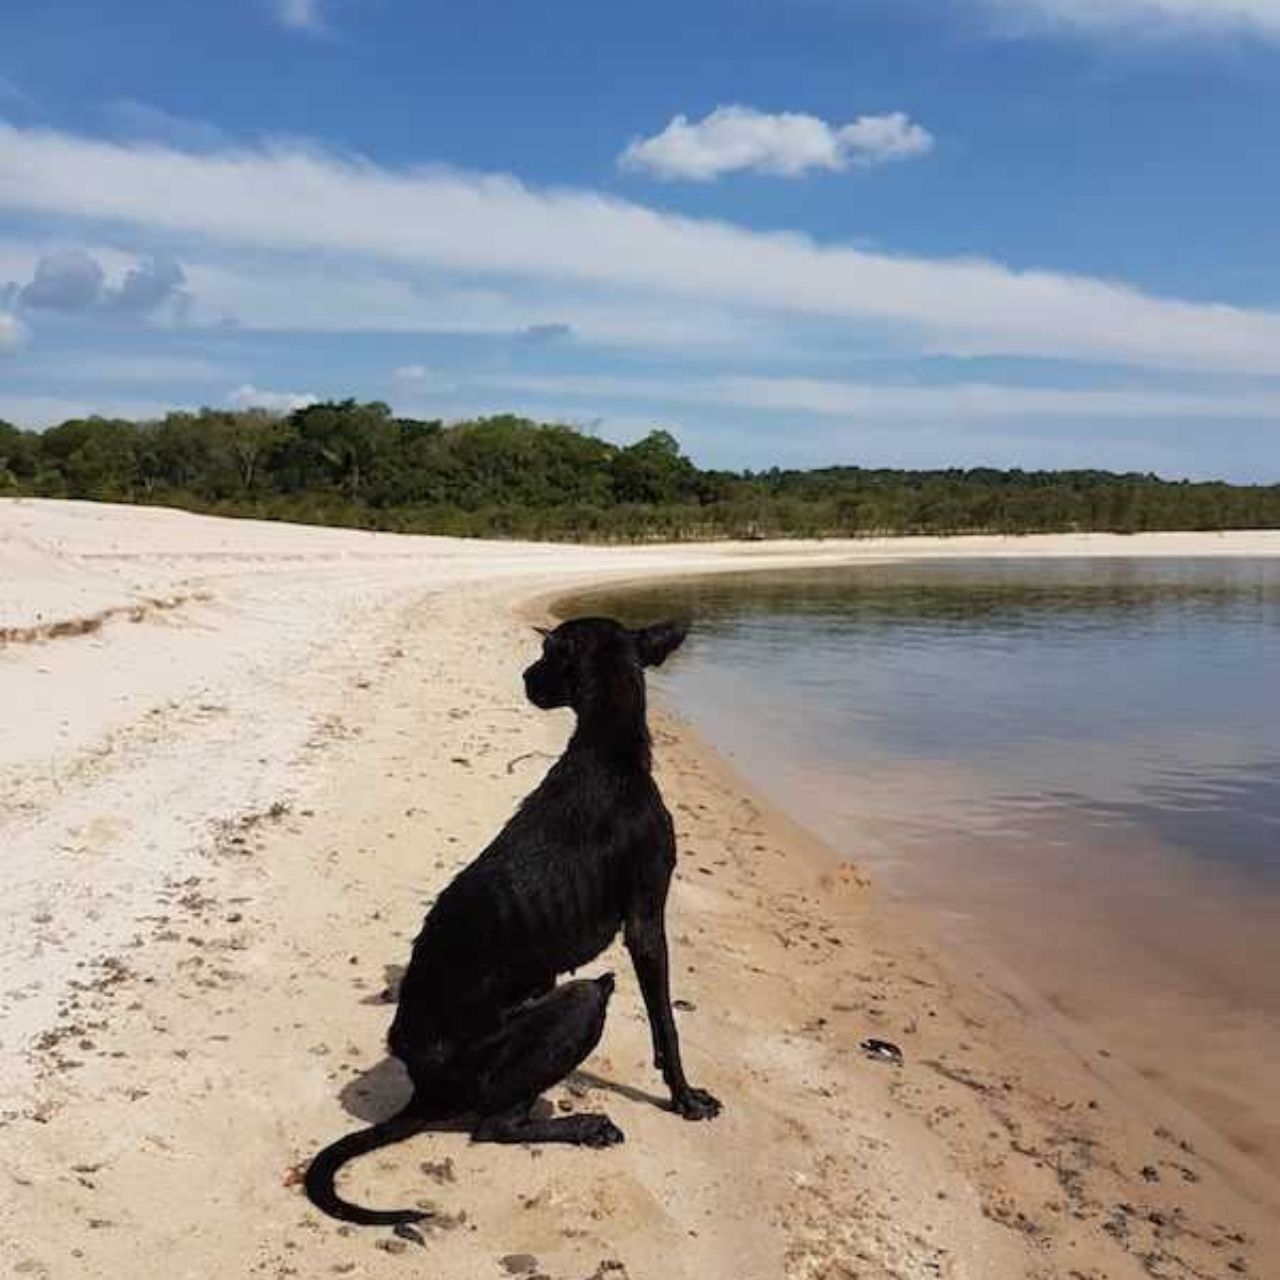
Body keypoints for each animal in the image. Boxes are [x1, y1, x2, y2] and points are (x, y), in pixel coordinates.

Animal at [302, 614, 721, 1223]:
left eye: (545, 652)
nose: (524, 678)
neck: (606, 750)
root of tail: (423, 1091)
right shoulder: (646, 922)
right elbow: (666, 1022)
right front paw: (685, 1098)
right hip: (579, 1002)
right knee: (494, 1125)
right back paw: (584, 1125)